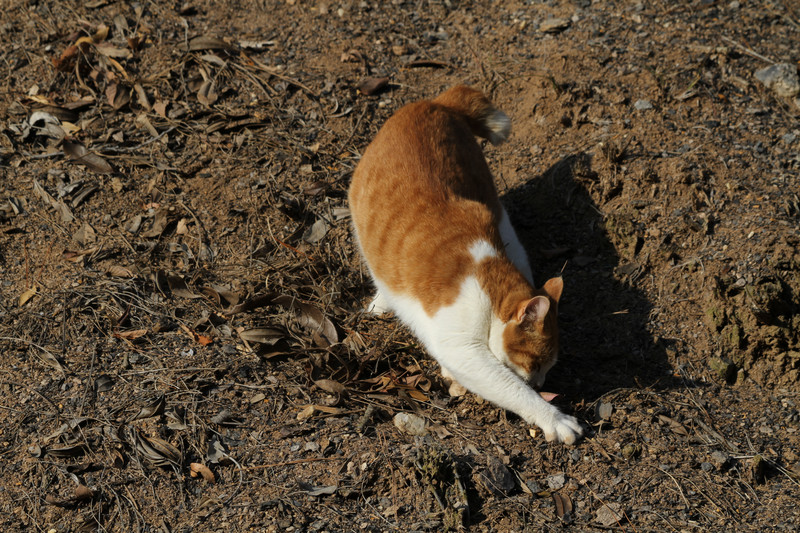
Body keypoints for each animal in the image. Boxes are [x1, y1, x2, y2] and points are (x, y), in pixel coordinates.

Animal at [348, 85, 580, 442]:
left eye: (546, 366)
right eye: (535, 363)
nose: (541, 383)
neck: (493, 278)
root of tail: (433, 103)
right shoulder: (463, 346)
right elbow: (510, 387)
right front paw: (553, 416)